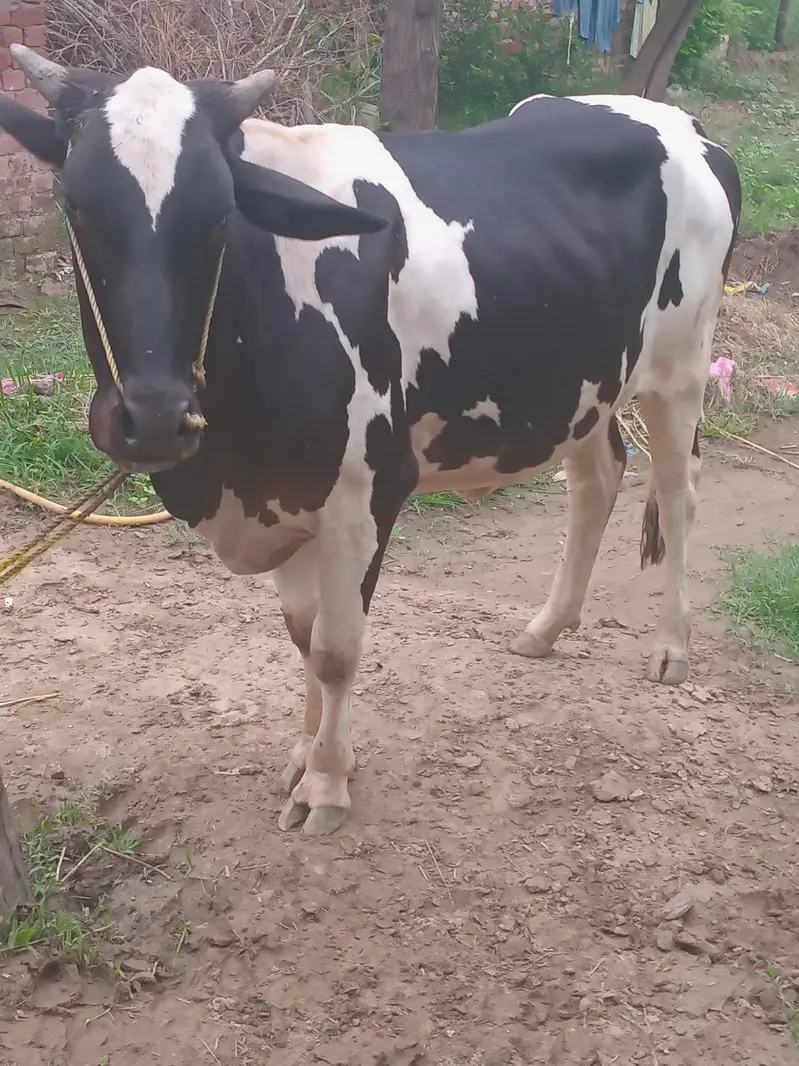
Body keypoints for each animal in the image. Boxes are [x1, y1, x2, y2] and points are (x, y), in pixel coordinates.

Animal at [1, 46, 740, 836]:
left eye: (219, 215)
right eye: (74, 205)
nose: (155, 417)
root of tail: (684, 124)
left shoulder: (366, 492)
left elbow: (335, 649)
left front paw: (325, 785)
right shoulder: (287, 497)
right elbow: (302, 633)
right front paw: (305, 755)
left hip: (679, 368)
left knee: (678, 494)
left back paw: (670, 646)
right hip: (587, 384)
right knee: (597, 480)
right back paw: (547, 626)